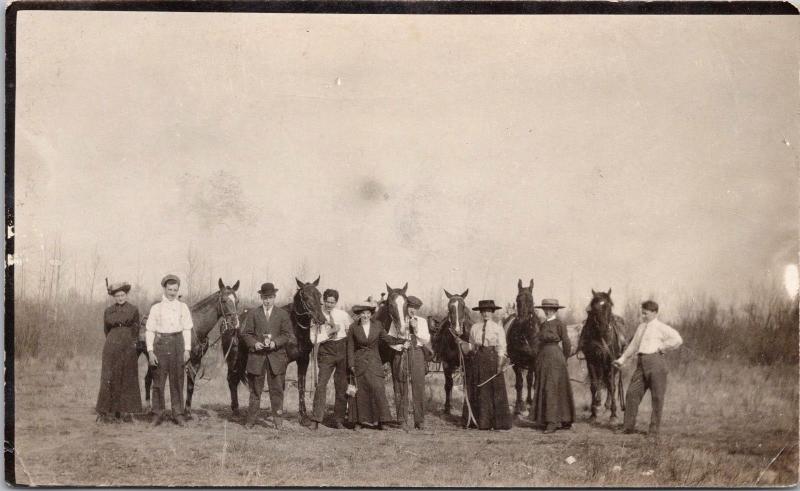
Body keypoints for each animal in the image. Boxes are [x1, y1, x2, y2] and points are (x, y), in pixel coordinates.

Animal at [432, 288, 476, 416]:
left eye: (463, 306)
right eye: (449, 307)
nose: (457, 331)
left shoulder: (467, 365)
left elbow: (466, 386)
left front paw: (466, 409)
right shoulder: (446, 363)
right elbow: (448, 385)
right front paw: (447, 407)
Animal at [504, 278, 540, 418]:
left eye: (531, 299)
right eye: (517, 299)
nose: (522, 320)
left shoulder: (533, 361)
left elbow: (529, 380)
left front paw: (529, 403)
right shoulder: (516, 361)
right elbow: (519, 383)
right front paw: (519, 406)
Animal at [580, 290, 628, 424]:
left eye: (609, 306)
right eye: (594, 307)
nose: (603, 328)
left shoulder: (611, 361)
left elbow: (611, 386)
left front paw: (613, 415)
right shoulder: (591, 362)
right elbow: (594, 385)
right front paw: (593, 413)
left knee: (611, 384)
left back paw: (607, 407)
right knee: (602, 381)